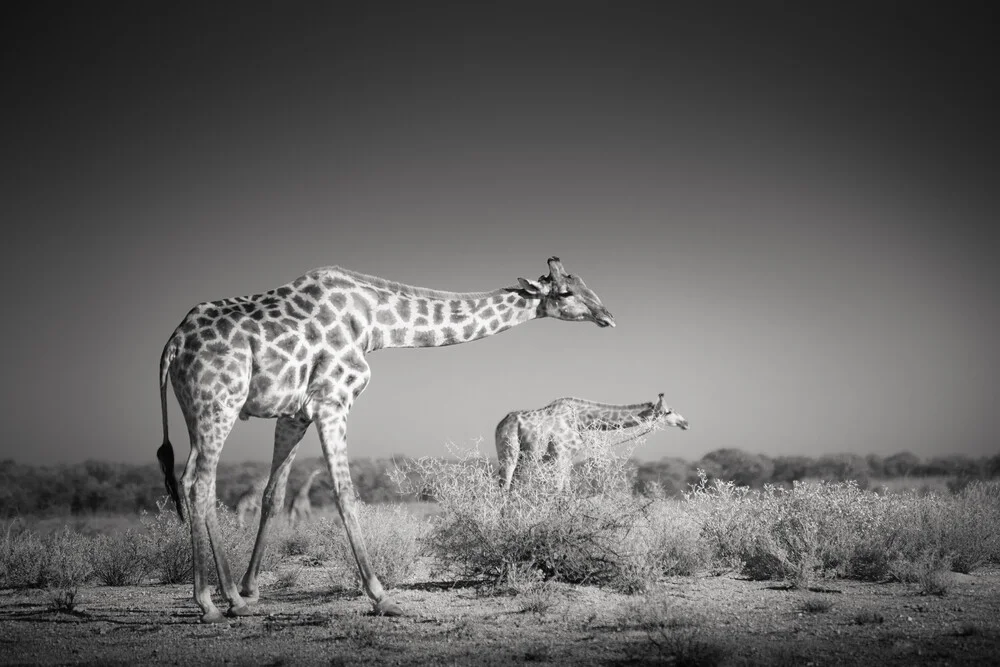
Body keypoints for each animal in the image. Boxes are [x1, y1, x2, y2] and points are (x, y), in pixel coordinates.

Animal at [154, 256, 616, 620]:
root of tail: (173, 345)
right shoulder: (332, 401)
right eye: (566, 292)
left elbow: (273, 494)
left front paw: (251, 590)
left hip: (199, 409)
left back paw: (225, 597)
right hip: (219, 403)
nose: (608, 316)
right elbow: (344, 493)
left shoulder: (294, 413)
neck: (374, 323)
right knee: (200, 483)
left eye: (585, 284)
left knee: (194, 480)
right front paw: (382, 597)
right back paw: (212, 603)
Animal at [494, 392, 688, 490]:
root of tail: (500, 424)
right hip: (509, 452)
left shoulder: (567, 457)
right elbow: (560, 489)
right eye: (668, 412)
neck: (581, 419)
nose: (685, 423)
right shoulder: (560, 455)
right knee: (505, 486)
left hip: (519, 456)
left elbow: (566, 489)